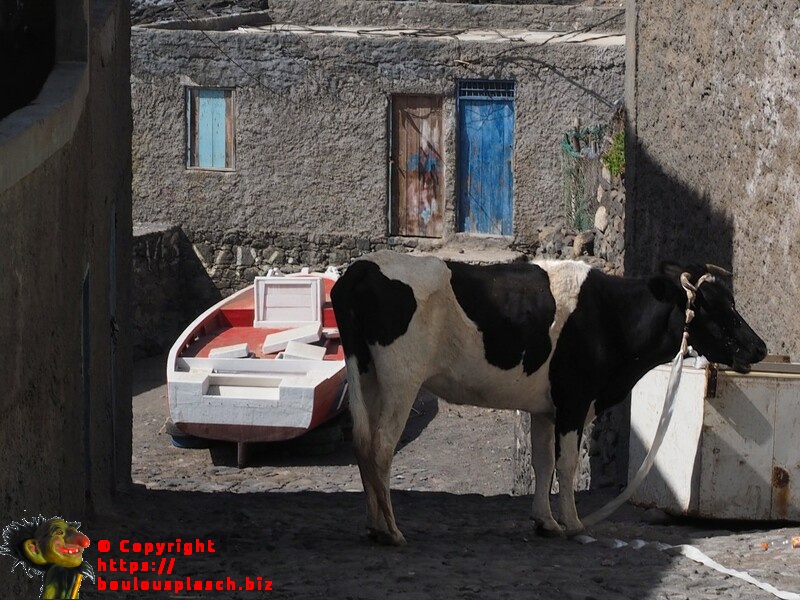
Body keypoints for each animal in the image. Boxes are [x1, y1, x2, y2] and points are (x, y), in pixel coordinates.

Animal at [330, 251, 767, 545]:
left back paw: (375, 526)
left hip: (367, 375)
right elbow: (567, 464)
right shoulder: (575, 399)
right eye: (715, 307)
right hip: (401, 379)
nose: (760, 348)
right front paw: (573, 524)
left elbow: (543, 465)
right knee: (382, 446)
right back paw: (391, 530)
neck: (611, 315)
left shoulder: (544, 407)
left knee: (363, 443)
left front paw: (546, 523)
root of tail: (363, 267)